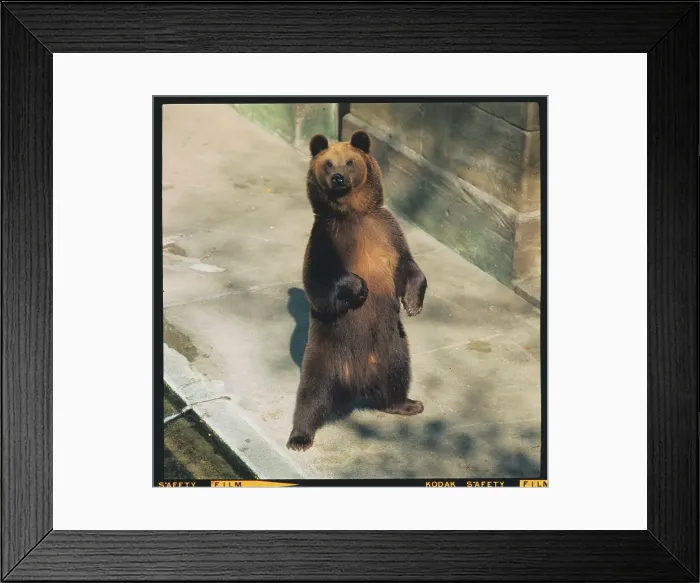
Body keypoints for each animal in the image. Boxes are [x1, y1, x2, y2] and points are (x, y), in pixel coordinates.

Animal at [286, 129, 428, 452]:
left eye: (349, 162)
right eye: (328, 164)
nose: (338, 178)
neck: (352, 214)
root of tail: (357, 381)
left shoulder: (387, 233)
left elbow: (409, 266)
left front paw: (413, 304)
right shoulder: (326, 239)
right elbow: (318, 282)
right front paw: (359, 288)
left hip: (393, 347)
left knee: (398, 376)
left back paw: (407, 404)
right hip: (324, 354)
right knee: (311, 395)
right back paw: (299, 436)